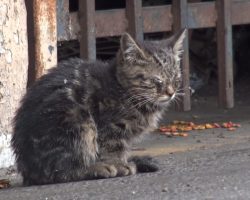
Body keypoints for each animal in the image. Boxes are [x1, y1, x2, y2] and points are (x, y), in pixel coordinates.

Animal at [11, 30, 186, 186]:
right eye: (157, 81)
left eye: (176, 79)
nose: (171, 93)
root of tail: (27, 170)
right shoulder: (108, 127)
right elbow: (111, 148)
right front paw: (119, 165)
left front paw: (124, 161)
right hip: (76, 121)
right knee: (59, 172)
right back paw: (97, 168)